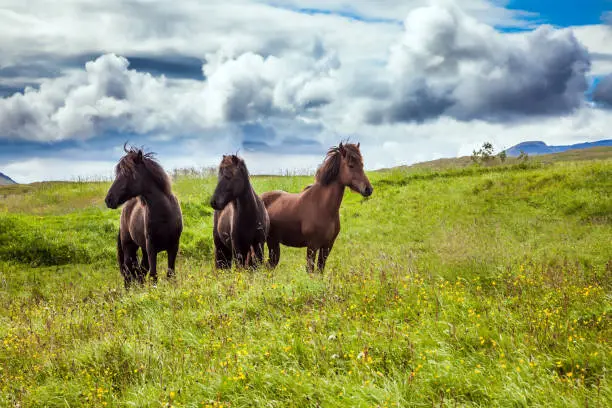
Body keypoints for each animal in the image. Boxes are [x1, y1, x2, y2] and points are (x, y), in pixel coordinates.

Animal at [104, 145, 184, 288]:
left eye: (128, 173)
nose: (109, 199)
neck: (165, 213)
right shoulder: (151, 247)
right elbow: (153, 275)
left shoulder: (173, 246)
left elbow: (170, 273)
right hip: (129, 246)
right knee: (129, 270)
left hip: (143, 249)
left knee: (140, 271)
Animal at [260, 141, 370, 274]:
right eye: (351, 165)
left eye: (362, 164)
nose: (368, 189)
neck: (323, 206)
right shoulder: (312, 246)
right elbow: (310, 271)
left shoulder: (327, 246)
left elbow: (320, 270)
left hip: (274, 243)